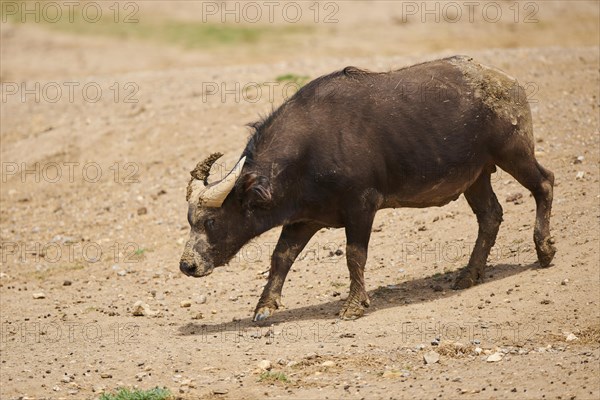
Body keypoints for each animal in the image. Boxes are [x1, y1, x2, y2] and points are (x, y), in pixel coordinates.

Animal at [179, 54, 556, 322]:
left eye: (211, 221)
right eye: (189, 221)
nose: (187, 266)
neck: (310, 149)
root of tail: (506, 82)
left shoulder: (361, 206)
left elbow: (354, 254)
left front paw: (354, 305)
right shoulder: (304, 218)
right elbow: (281, 256)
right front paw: (264, 306)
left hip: (514, 152)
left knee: (545, 183)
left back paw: (544, 250)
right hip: (475, 176)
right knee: (491, 215)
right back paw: (468, 274)